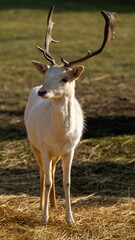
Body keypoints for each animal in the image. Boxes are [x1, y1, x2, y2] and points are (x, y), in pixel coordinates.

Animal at [24, 7, 116, 225]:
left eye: (65, 78)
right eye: (46, 75)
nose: (43, 92)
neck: (59, 135)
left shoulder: (70, 148)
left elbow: (67, 181)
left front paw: (70, 218)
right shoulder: (45, 146)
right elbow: (48, 180)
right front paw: (44, 218)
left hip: (56, 153)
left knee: (51, 169)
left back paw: (54, 205)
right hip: (34, 143)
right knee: (43, 173)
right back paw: (43, 206)